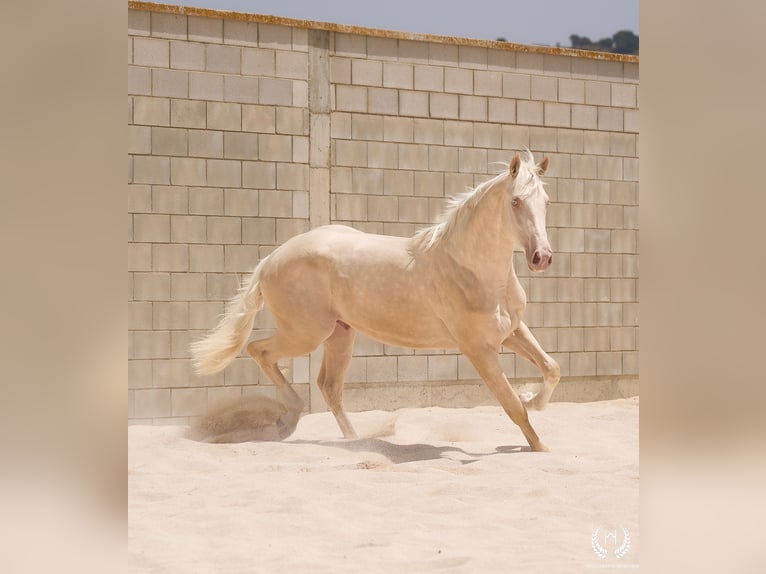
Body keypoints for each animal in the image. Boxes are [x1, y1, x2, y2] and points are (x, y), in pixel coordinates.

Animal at [191, 151, 560, 452]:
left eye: (546, 201)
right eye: (516, 201)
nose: (542, 257)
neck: (471, 269)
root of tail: (270, 260)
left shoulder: (512, 331)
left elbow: (551, 369)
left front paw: (533, 398)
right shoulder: (479, 349)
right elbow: (512, 405)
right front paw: (540, 446)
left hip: (340, 334)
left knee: (328, 386)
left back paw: (353, 440)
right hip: (306, 334)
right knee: (260, 351)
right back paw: (289, 416)